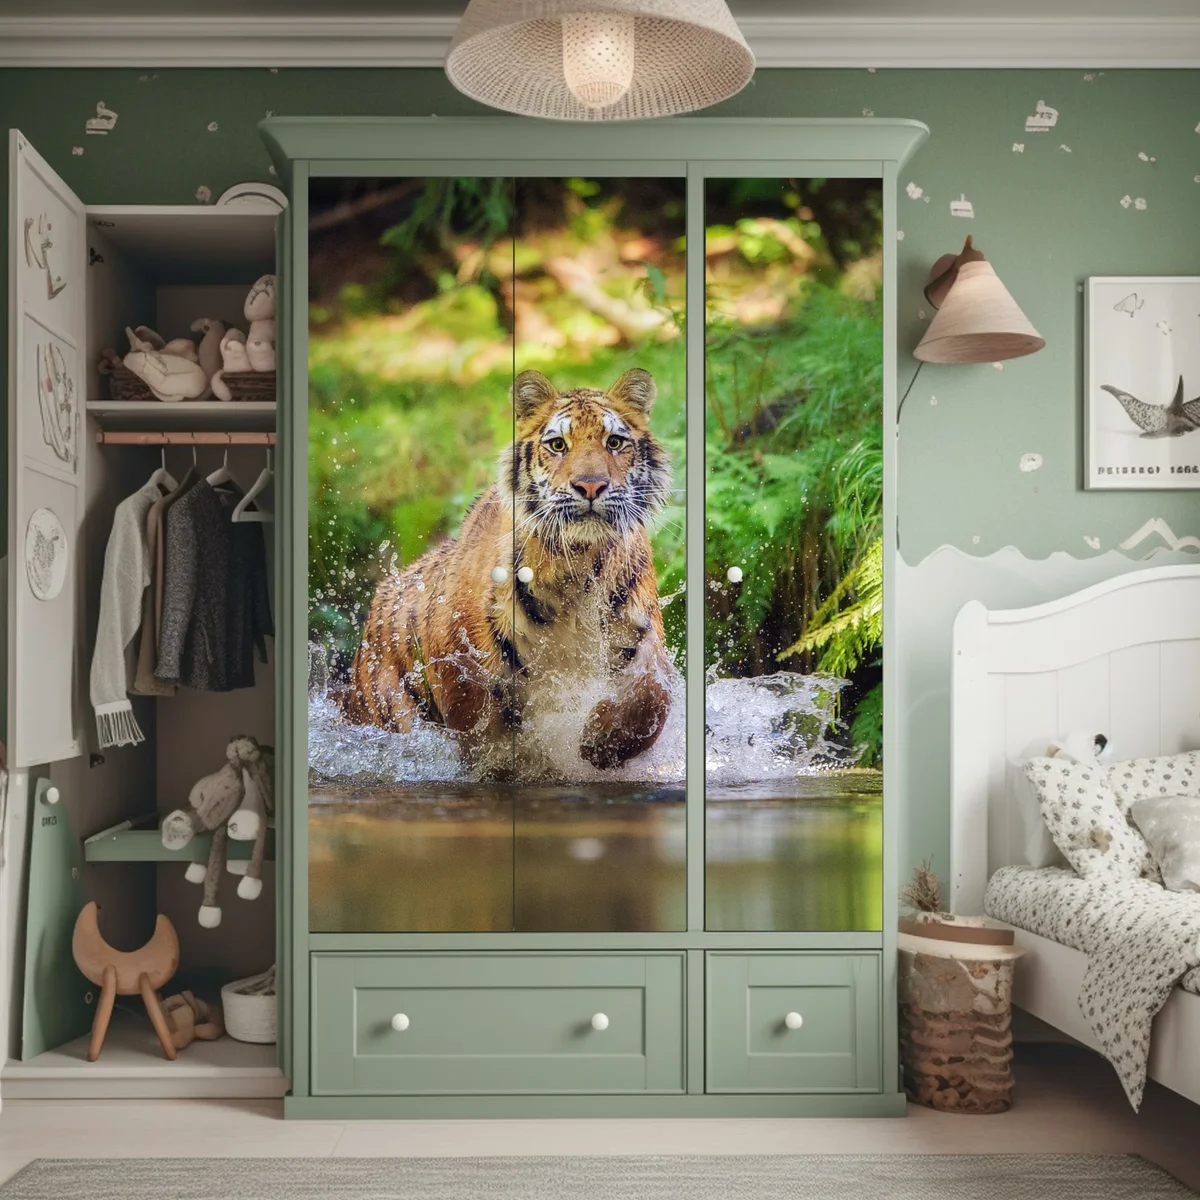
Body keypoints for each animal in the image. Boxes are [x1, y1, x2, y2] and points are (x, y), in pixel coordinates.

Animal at [341, 367, 677, 773]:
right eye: (558, 445)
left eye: (614, 442)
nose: (591, 486)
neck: (575, 565)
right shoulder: (458, 655)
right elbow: (481, 728)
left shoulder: (640, 633)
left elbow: (653, 695)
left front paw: (601, 741)